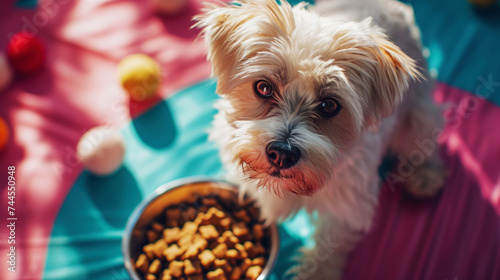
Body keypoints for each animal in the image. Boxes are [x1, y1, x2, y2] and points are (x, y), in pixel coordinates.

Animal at [194, 0, 446, 278]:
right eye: (263, 87)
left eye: (329, 105)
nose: (282, 153)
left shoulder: (349, 205)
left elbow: (329, 244)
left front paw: (317, 272)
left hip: (417, 111)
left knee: (425, 138)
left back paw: (425, 176)